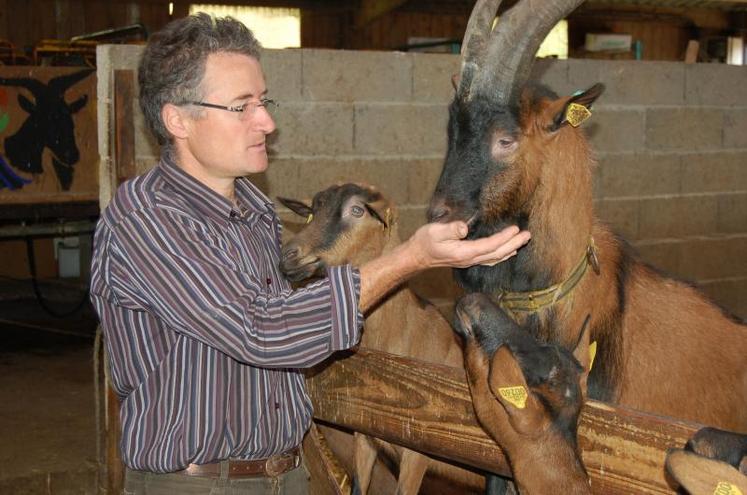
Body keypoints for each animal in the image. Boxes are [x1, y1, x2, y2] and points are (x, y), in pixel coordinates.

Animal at [280, 183, 486, 495]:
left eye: (357, 210)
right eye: (312, 213)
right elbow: (357, 486)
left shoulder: (418, 451)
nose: (289, 255)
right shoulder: (366, 435)